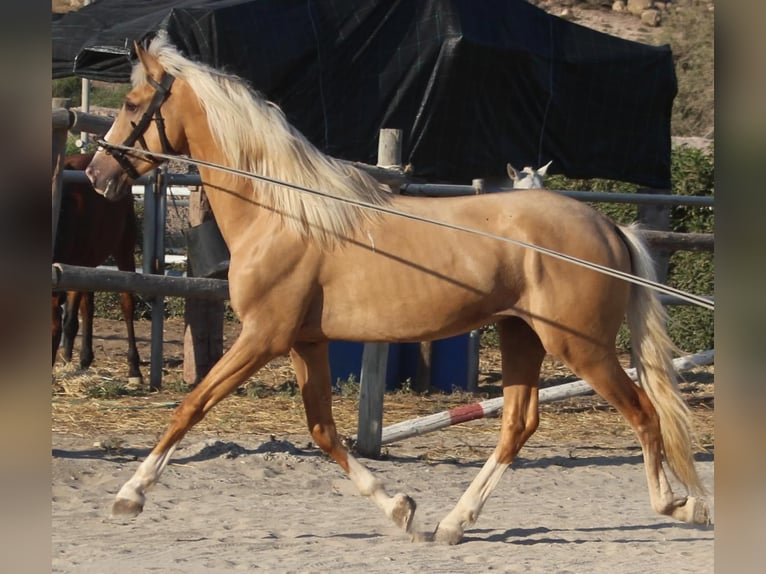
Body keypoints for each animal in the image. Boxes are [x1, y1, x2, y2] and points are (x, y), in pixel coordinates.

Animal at [53, 153, 143, 388]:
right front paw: (68, 360)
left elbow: (69, 321)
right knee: (88, 307)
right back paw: (84, 358)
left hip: (124, 248)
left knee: (127, 303)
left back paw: (134, 368)